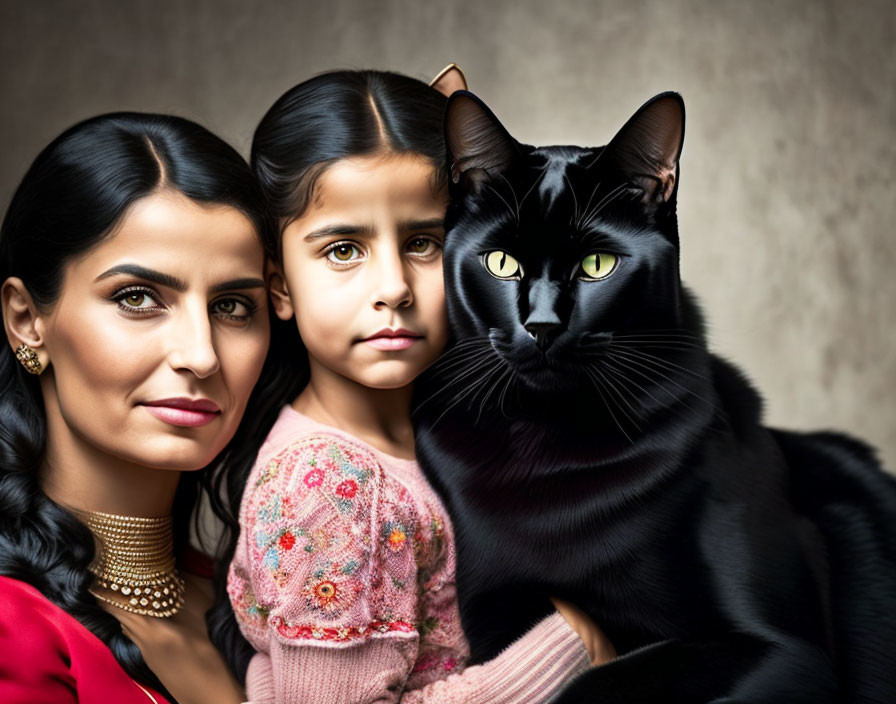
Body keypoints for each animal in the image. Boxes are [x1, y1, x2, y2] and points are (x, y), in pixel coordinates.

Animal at [412, 91, 896, 700]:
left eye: (597, 265)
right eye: (502, 262)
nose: (543, 325)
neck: (549, 451)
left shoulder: (785, 650)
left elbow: (595, 684)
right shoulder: (496, 617)